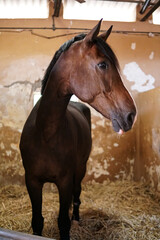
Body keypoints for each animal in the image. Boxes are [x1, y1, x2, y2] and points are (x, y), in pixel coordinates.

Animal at [19, 20, 136, 240]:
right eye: (102, 64)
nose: (131, 115)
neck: (45, 134)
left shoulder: (64, 182)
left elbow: (63, 222)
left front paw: (70, 222)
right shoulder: (32, 181)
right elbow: (37, 221)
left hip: (80, 169)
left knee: (77, 195)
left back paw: (77, 218)